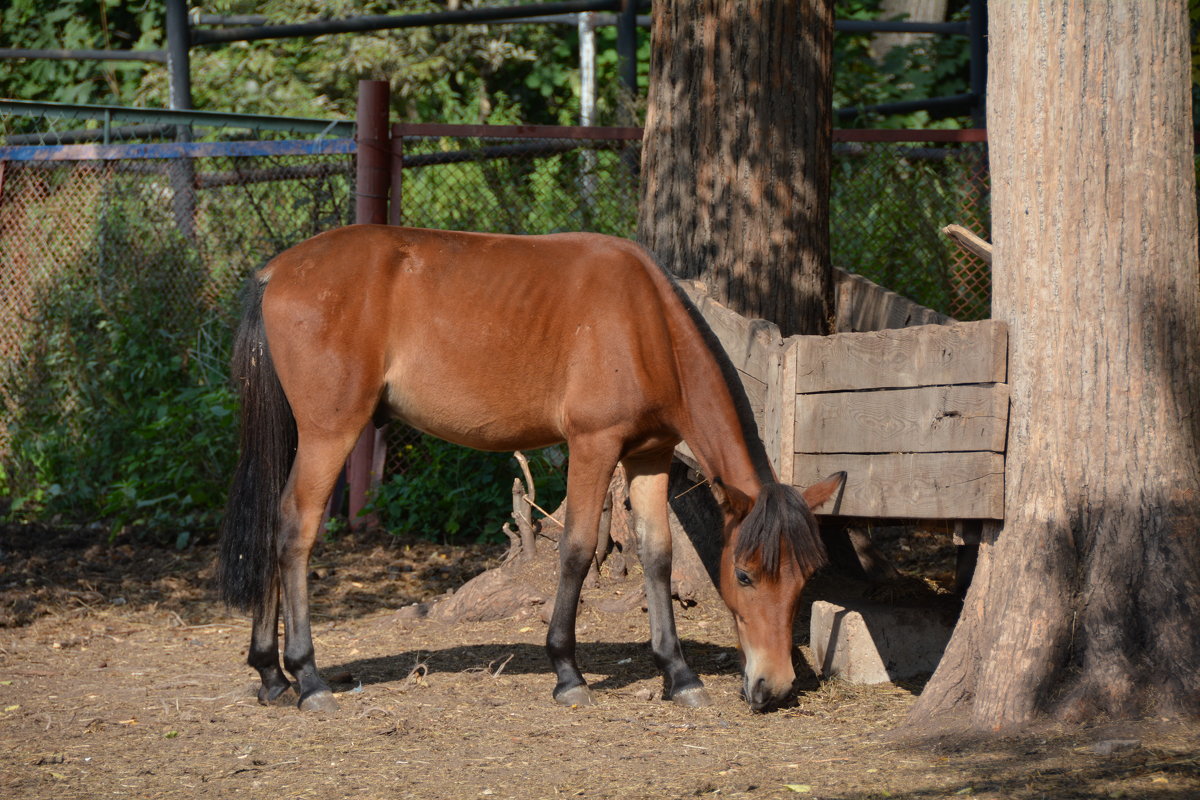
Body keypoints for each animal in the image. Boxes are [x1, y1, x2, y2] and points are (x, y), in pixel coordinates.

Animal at [218, 224, 844, 714]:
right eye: (744, 575)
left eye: (804, 579)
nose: (774, 687)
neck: (647, 323)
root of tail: (276, 272)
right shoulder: (594, 445)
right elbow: (577, 549)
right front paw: (567, 672)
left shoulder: (650, 454)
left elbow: (657, 554)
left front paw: (678, 674)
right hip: (330, 434)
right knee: (295, 529)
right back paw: (309, 679)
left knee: (273, 521)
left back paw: (271, 674)